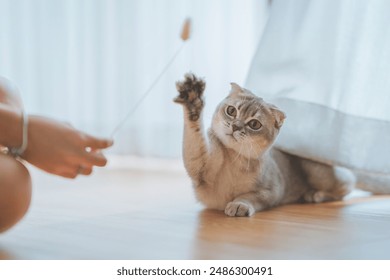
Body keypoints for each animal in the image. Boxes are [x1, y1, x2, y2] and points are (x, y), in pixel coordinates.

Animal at [174, 72, 354, 217]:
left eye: (254, 124)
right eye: (231, 111)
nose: (235, 126)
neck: (235, 158)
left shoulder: (272, 191)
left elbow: (249, 197)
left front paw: (239, 204)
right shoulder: (201, 167)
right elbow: (195, 136)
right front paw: (192, 99)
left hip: (317, 173)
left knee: (346, 188)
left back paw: (315, 195)